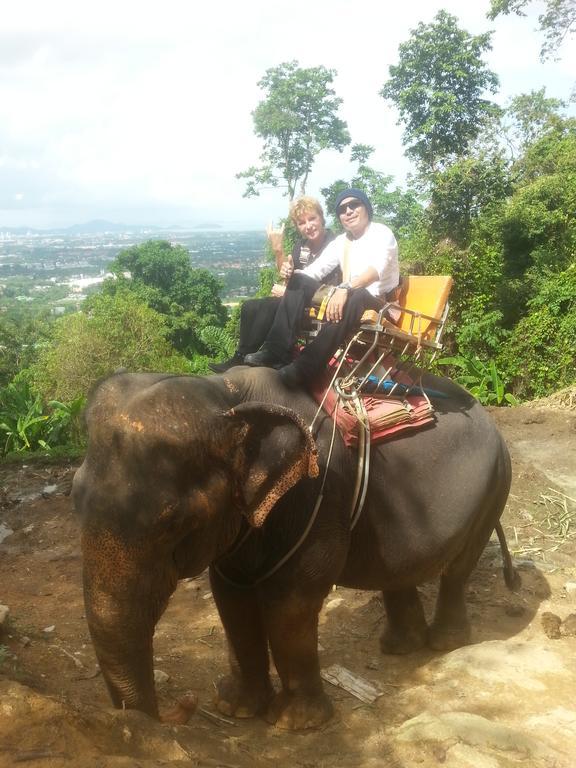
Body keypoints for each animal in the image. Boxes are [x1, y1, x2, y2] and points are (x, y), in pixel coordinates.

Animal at [73, 368, 516, 728]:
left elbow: (290, 601)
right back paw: (400, 649)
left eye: (174, 523)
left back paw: (446, 644)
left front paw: (293, 724)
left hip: (495, 485)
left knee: (458, 570)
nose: (184, 704)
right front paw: (236, 709)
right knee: (399, 574)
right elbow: (232, 598)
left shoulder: (319, 497)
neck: (229, 395)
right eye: (75, 498)